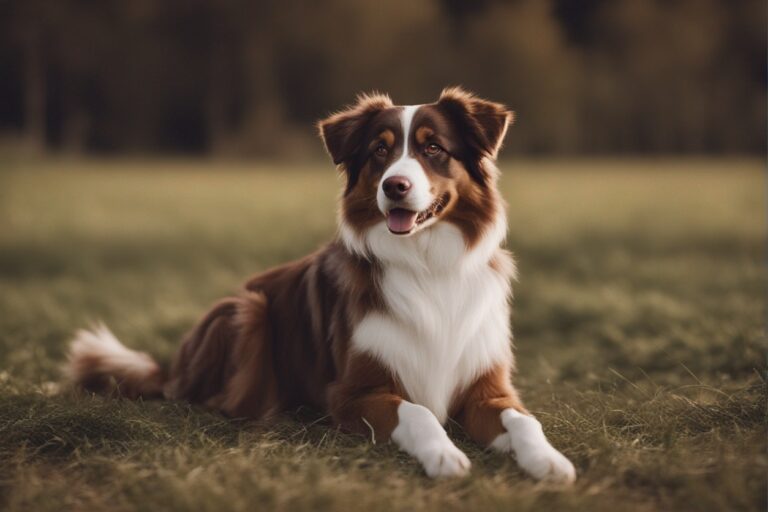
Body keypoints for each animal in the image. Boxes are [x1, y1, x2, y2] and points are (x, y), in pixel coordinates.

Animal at [67, 86, 576, 482]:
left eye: (434, 149)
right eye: (380, 151)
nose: (394, 186)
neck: (427, 263)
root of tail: (173, 367)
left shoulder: (487, 389)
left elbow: (525, 422)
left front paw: (550, 461)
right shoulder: (351, 393)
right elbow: (418, 412)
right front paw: (444, 456)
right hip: (247, 310)